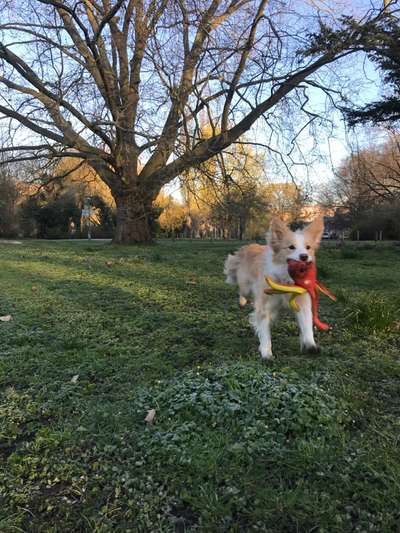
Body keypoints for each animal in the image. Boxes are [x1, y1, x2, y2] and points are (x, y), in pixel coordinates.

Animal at [225, 214, 324, 360]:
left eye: (308, 247)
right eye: (291, 247)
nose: (304, 256)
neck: (285, 280)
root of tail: (249, 246)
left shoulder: (302, 304)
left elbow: (306, 325)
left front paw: (310, 345)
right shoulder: (264, 307)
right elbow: (265, 332)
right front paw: (266, 353)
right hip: (245, 285)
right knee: (242, 291)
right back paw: (242, 301)